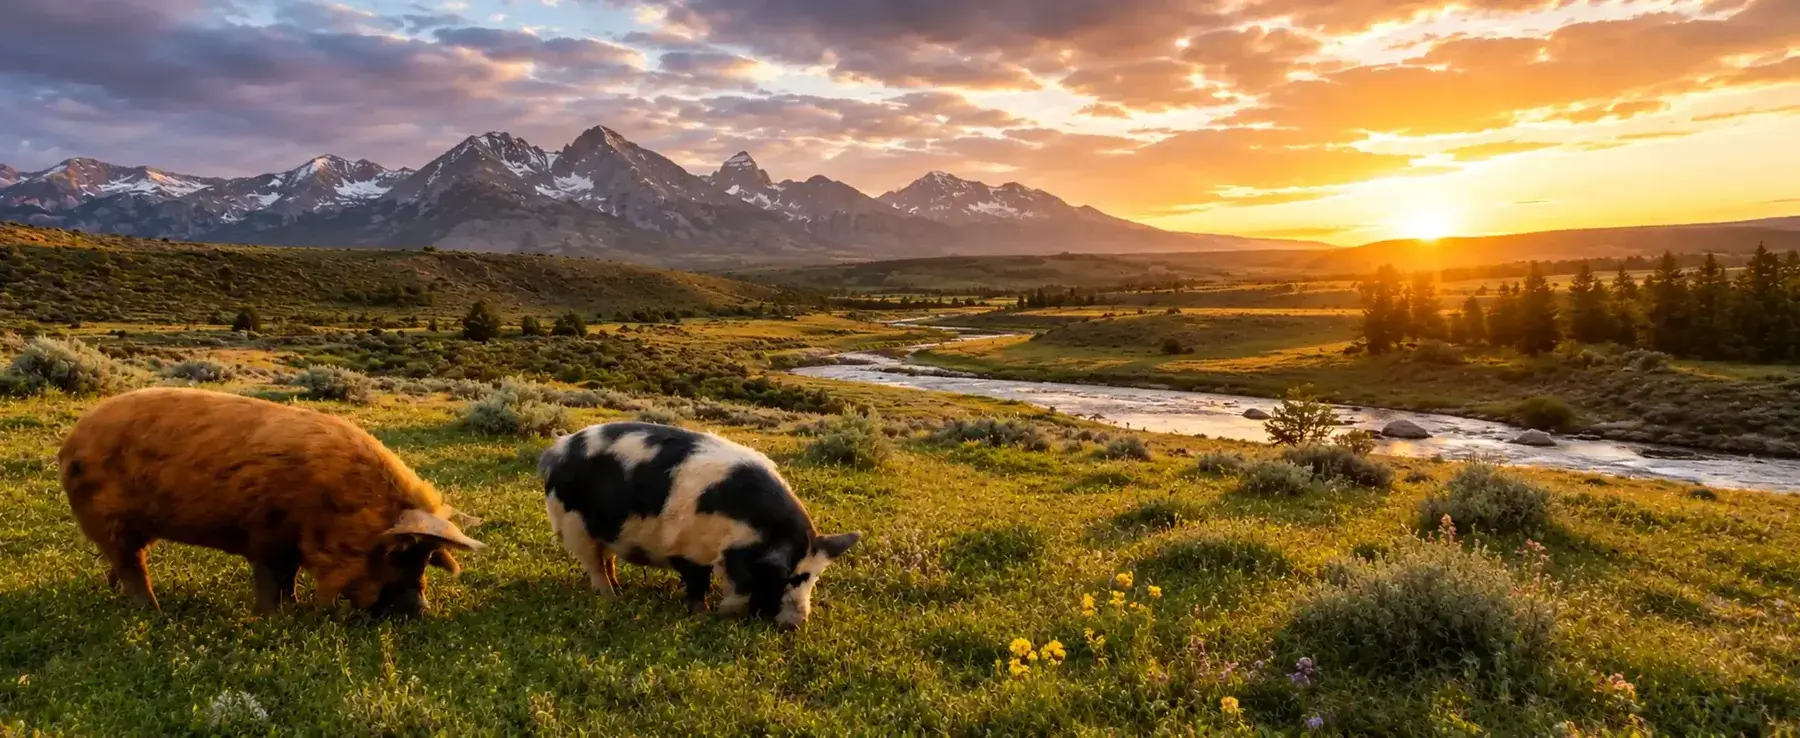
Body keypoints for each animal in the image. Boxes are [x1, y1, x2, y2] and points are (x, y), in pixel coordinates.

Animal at [59, 387, 484, 618]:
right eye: (399, 555)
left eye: (427, 559)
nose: (422, 612)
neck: (337, 505)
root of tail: (71, 441)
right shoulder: (266, 536)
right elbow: (274, 579)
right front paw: (279, 617)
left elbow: (288, 579)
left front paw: (293, 609)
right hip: (108, 517)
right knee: (132, 565)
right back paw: (154, 612)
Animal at [537, 421, 859, 628]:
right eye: (786, 577)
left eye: (814, 578)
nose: (796, 624)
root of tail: (556, 452)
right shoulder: (689, 549)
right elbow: (698, 583)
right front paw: (704, 615)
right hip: (574, 525)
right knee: (594, 565)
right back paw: (612, 597)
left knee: (607, 559)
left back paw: (619, 587)